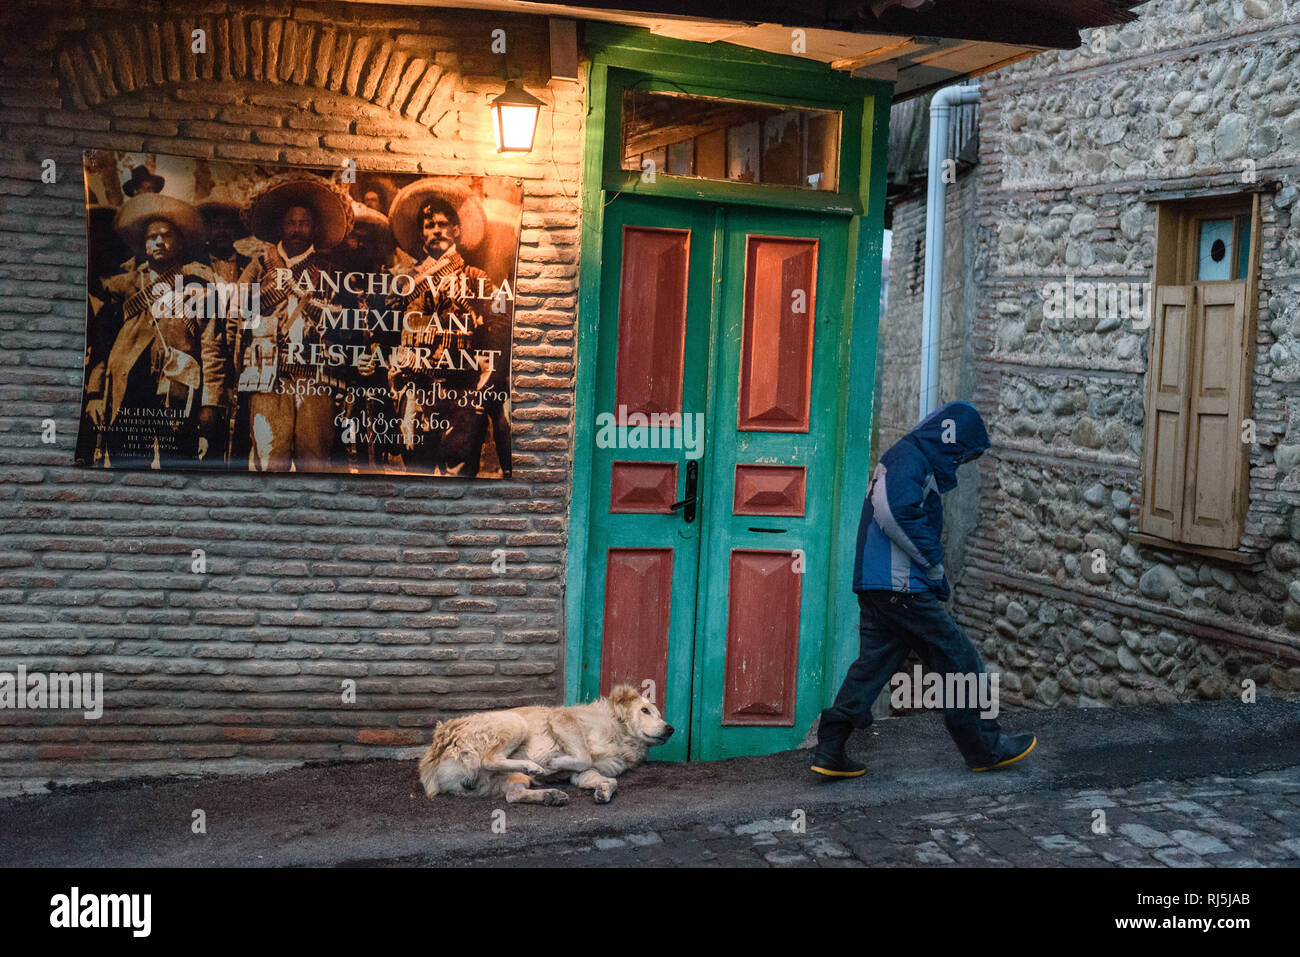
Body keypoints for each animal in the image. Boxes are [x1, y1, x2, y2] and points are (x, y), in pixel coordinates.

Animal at [418, 686, 676, 806]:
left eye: (659, 714)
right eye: (645, 710)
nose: (670, 729)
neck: (621, 735)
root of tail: (441, 739)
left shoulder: (585, 773)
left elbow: (608, 779)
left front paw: (603, 791)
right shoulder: (561, 719)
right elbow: (583, 755)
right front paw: (553, 763)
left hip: (510, 778)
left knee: (512, 795)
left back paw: (550, 796)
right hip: (516, 723)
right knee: (489, 760)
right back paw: (535, 767)